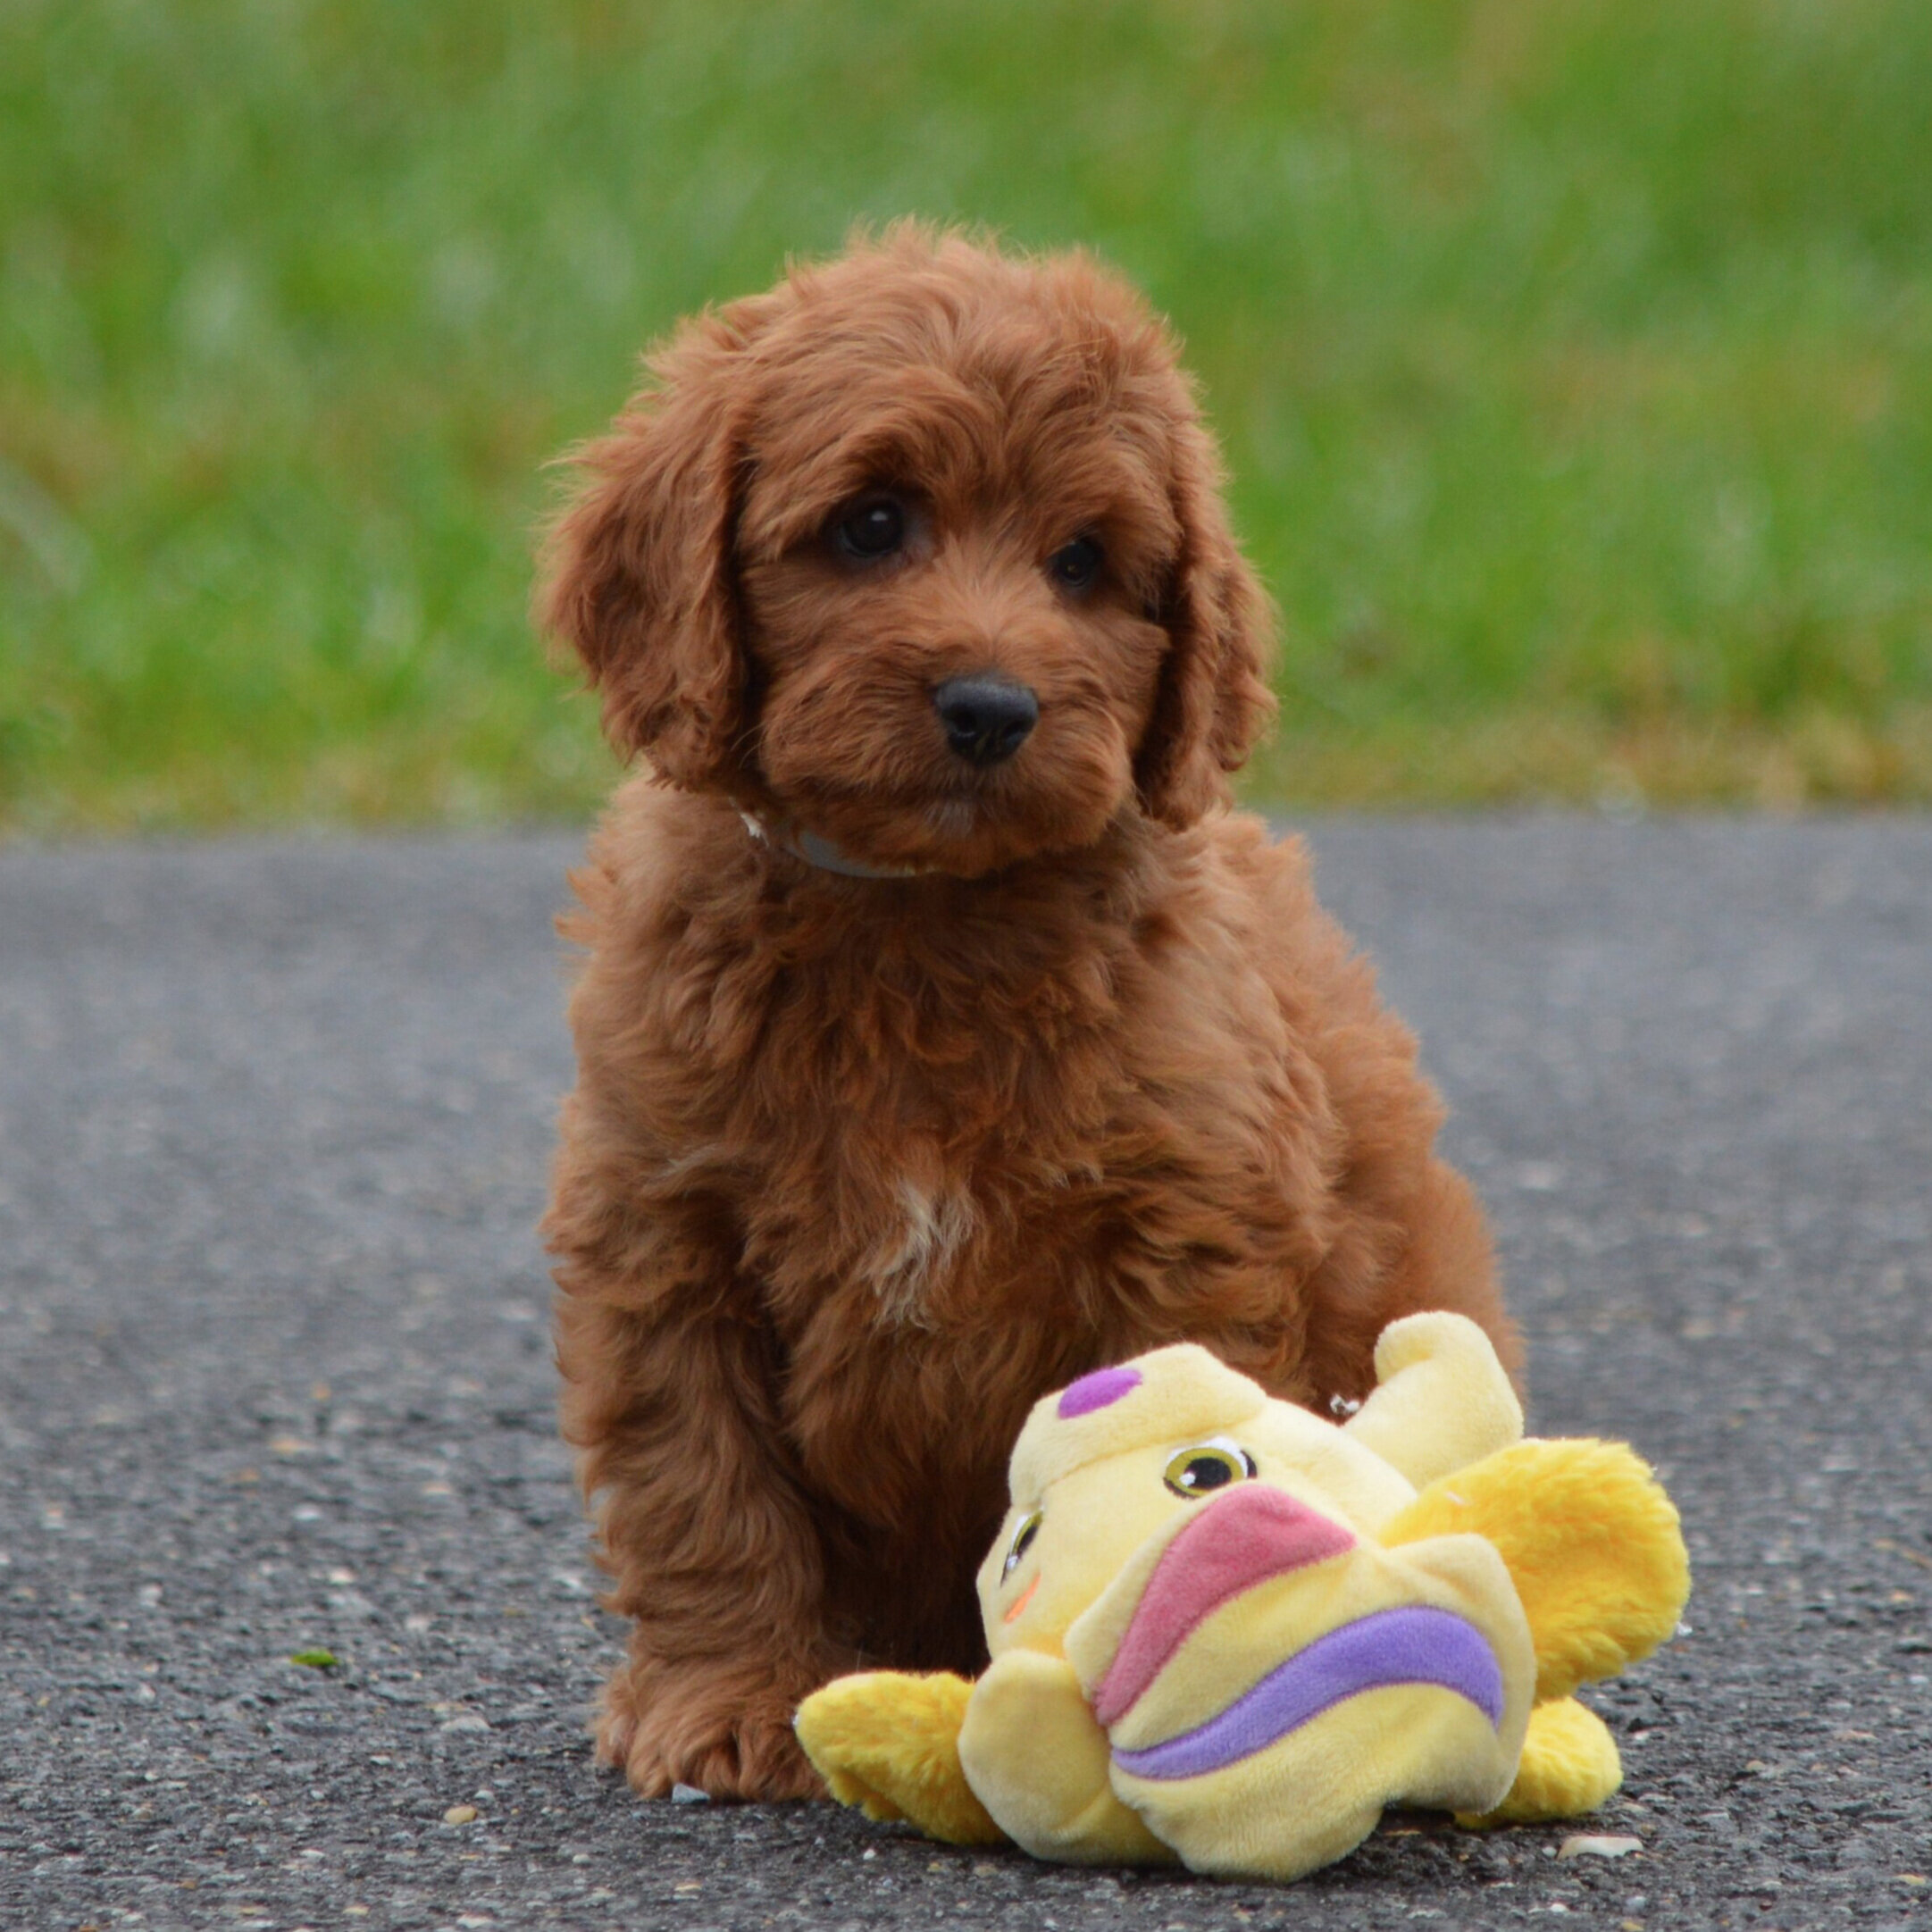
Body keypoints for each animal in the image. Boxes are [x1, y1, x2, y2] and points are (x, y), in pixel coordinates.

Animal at [537, 230, 1514, 1808]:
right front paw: (728, 1695)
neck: (919, 918)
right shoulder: (663, 1228)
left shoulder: (1186, 1223)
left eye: (1082, 562)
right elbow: (702, 1483)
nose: (991, 706)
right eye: (870, 523)